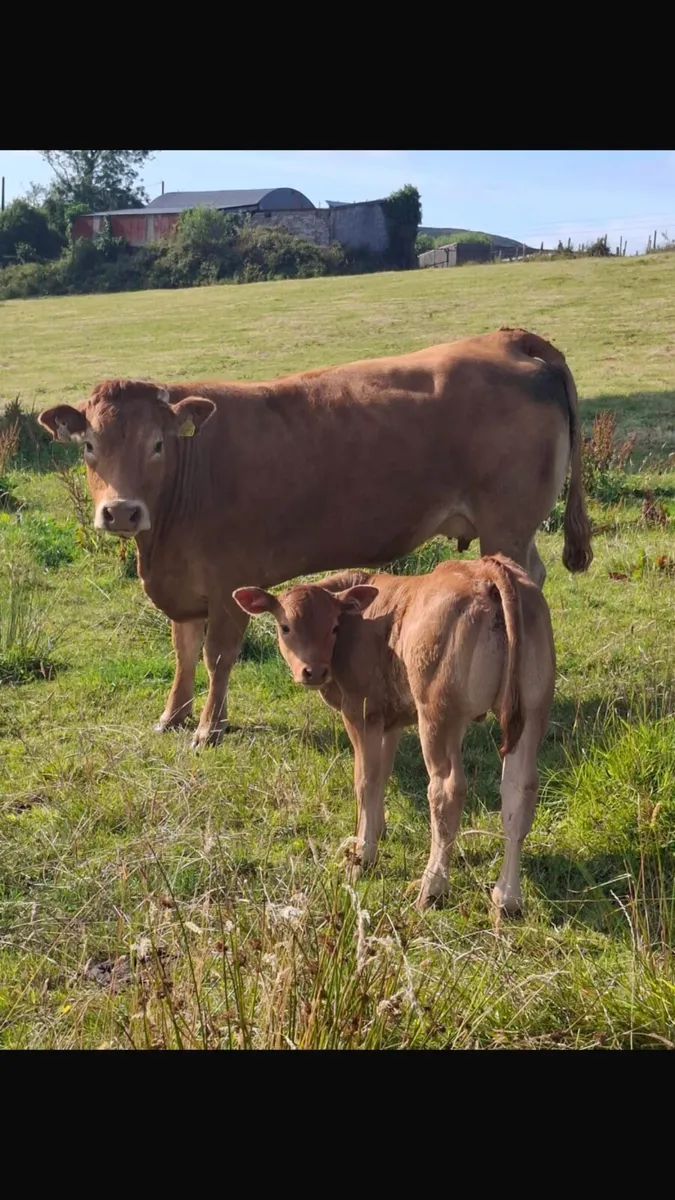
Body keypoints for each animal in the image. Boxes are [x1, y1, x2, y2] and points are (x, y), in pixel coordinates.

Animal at [37, 327, 590, 750]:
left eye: (157, 444)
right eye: (88, 446)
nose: (121, 511)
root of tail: (505, 339)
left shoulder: (229, 579)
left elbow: (218, 656)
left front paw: (207, 728)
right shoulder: (185, 585)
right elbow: (184, 652)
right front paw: (173, 716)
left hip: (505, 525)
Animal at [233, 554, 556, 913]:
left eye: (333, 627)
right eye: (285, 627)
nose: (314, 671)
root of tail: (486, 568)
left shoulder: (360, 712)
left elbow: (364, 780)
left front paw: (362, 852)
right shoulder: (390, 719)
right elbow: (381, 775)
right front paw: (376, 831)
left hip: (439, 715)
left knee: (446, 791)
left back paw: (432, 887)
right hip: (532, 709)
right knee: (519, 791)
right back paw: (507, 898)